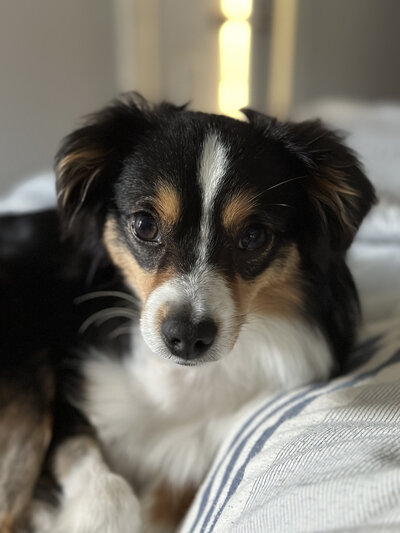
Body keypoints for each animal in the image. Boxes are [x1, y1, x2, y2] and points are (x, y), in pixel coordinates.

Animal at [0, 95, 376, 532]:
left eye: (254, 236)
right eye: (144, 224)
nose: (187, 337)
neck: (181, 380)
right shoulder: (68, 408)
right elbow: (108, 491)